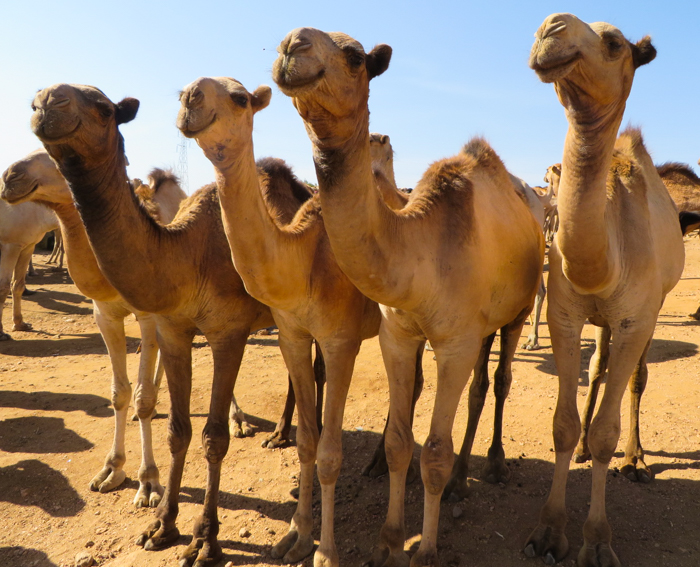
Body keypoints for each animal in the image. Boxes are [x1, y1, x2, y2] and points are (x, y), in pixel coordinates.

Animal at [0, 193, 58, 340]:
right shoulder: (10, 246)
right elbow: (3, 287)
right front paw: (1, 333)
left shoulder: (27, 246)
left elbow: (18, 285)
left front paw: (20, 324)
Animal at [29, 83, 314, 567]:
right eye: (37, 102)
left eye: (104, 109)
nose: (48, 100)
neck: (187, 254)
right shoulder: (173, 330)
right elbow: (177, 431)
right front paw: (162, 524)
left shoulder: (228, 333)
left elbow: (214, 438)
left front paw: (205, 541)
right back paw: (279, 436)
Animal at [175, 76, 426, 567]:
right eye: (184, 92)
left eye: (239, 97)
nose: (190, 97)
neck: (304, 260)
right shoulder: (290, 333)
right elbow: (308, 443)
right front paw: (296, 535)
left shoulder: (341, 340)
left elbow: (329, 452)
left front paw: (326, 551)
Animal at [270, 27, 544, 567]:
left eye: (355, 57)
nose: (293, 45)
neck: (420, 250)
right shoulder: (397, 333)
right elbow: (401, 443)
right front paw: (390, 540)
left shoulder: (454, 343)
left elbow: (433, 452)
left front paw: (426, 550)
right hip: (483, 324)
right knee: (481, 386)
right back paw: (462, 481)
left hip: (519, 310)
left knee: (500, 381)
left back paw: (492, 465)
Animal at [524, 13, 684, 567]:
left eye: (614, 43)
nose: (550, 28)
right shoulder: (566, 314)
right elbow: (563, 425)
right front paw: (549, 531)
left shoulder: (637, 318)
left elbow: (605, 433)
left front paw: (596, 540)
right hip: (601, 322)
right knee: (597, 369)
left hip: (651, 310)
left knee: (632, 379)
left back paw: (636, 460)